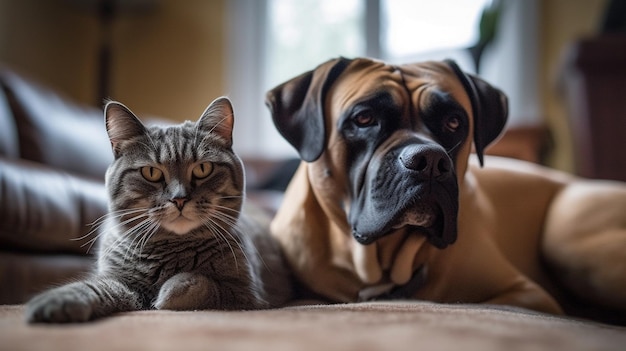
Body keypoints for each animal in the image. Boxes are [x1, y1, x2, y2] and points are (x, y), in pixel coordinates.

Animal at [24, 97, 292, 324]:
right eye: (151, 172)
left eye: (203, 168)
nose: (179, 198)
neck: (170, 251)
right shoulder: (119, 281)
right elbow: (97, 286)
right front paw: (61, 299)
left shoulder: (247, 293)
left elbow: (200, 283)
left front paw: (167, 294)